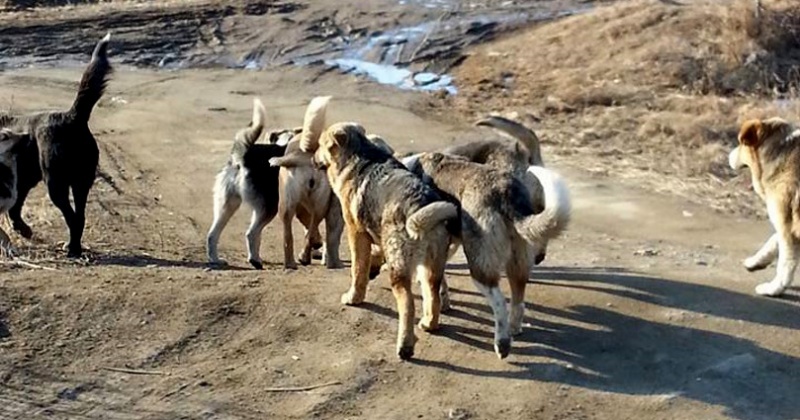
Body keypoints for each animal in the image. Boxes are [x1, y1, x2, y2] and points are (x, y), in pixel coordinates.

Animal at [0, 32, 111, 258]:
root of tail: (72, 117)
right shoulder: (21, 184)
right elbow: (15, 209)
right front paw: (23, 231)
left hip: (56, 184)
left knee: (72, 217)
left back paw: (73, 251)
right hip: (81, 182)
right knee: (80, 217)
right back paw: (73, 246)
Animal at [306, 115, 456, 360]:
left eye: (320, 145)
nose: (312, 158)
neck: (359, 153)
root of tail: (420, 206)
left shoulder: (355, 231)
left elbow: (357, 270)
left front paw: (354, 297)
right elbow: (373, 256)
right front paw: (374, 268)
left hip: (400, 270)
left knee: (407, 303)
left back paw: (405, 345)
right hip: (431, 269)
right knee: (432, 296)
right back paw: (429, 323)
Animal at [728, 116, 800, 296]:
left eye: (741, 144)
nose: (728, 155)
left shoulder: (787, 228)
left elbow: (786, 263)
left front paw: (775, 288)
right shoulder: (787, 223)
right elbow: (773, 240)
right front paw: (757, 261)